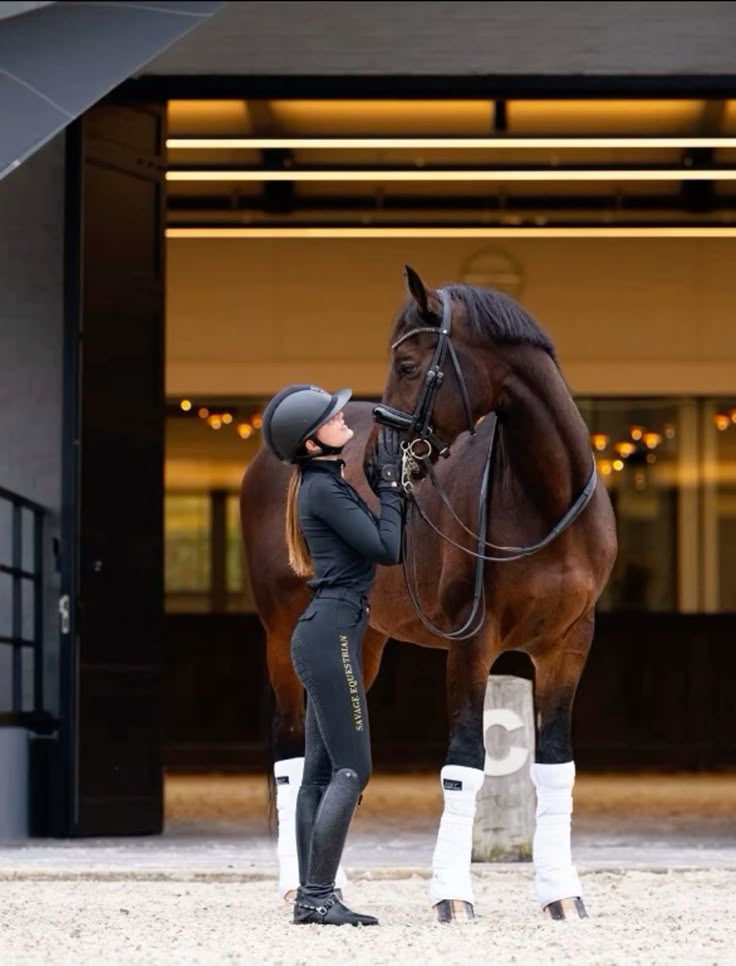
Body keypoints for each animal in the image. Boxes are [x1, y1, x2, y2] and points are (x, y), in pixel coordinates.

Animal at [240, 265, 617, 922]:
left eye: (410, 364)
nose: (373, 461)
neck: (544, 500)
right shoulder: (472, 640)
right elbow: (464, 766)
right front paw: (452, 897)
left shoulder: (569, 643)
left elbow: (556, 768)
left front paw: (562, 895)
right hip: (282, 635)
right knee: (289, 758)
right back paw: (297, 887)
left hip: (361, 644)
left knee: (325, 751)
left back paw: (329, 885)